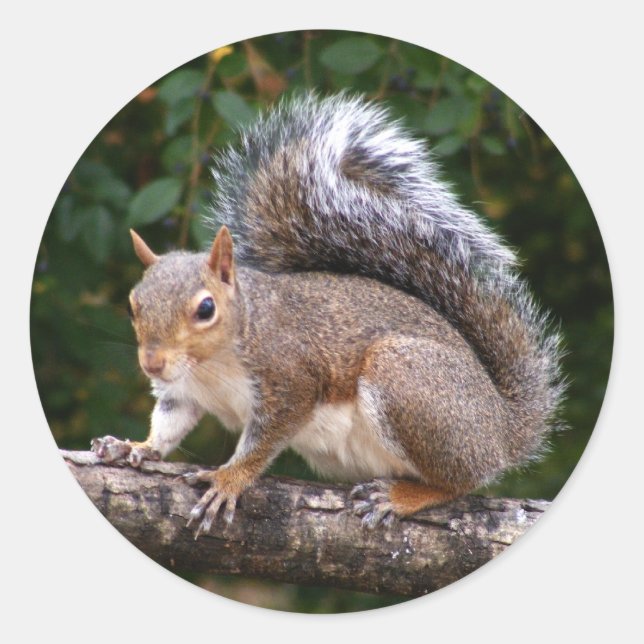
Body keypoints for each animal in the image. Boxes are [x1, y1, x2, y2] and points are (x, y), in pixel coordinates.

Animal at [91, 93, 564, 537]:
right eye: (133, 304)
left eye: (206, 308)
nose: (152, 363)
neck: (211, 364)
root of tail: (503, 429)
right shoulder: (185, 393)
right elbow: (169, 423)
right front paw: (135, 447)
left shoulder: (291, 378)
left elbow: (264, 441)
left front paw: (228, 479)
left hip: (410, 382)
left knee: (460, 482)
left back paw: (400, 497)